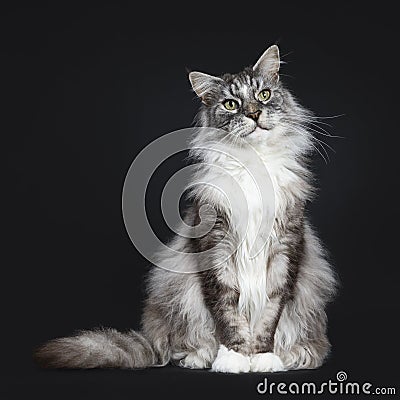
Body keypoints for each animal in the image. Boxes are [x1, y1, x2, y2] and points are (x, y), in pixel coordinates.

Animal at [34, 45, 336, 374]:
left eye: (265, 95)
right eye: (231, 104)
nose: (254, 113)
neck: (253, 163)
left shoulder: (285, 245)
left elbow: (271, 311)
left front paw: (263, 357)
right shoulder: (215, 244)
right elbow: (227, 310)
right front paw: (234, 357)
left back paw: (294, 356)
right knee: (178, 345)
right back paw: (200, 357)